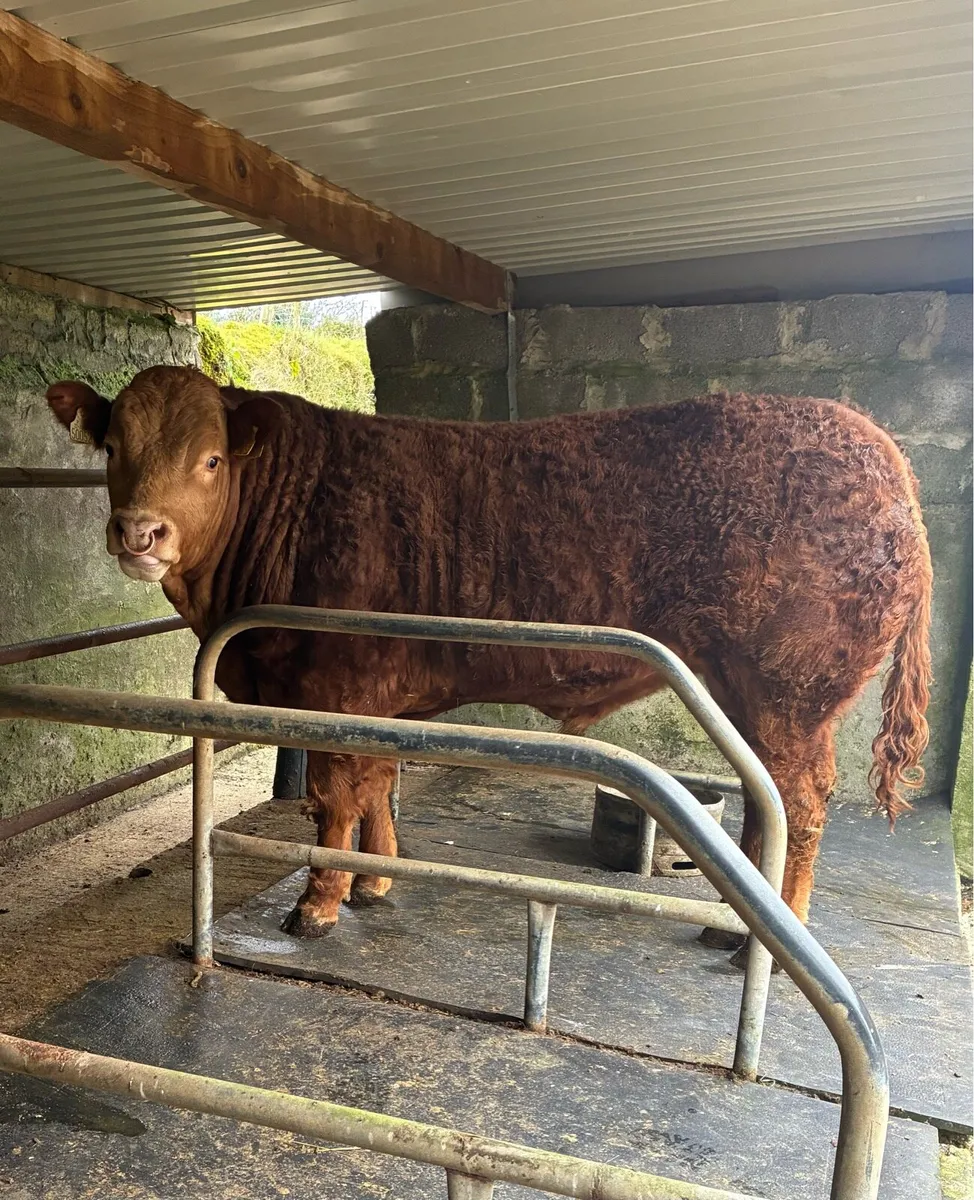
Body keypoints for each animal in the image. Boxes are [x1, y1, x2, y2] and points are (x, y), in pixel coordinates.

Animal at [47, 365, 932, 955]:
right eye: (114, 445)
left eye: (210, 460)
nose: (140, 531)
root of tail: (884, 455)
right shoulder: (378, 702)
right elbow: (376, 789)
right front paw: (374, 882)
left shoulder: (337, 689)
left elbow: (334, 800)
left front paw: (319, 904)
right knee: (769, 802)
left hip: (787, 690)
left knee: (799, 802)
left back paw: (762, 941)